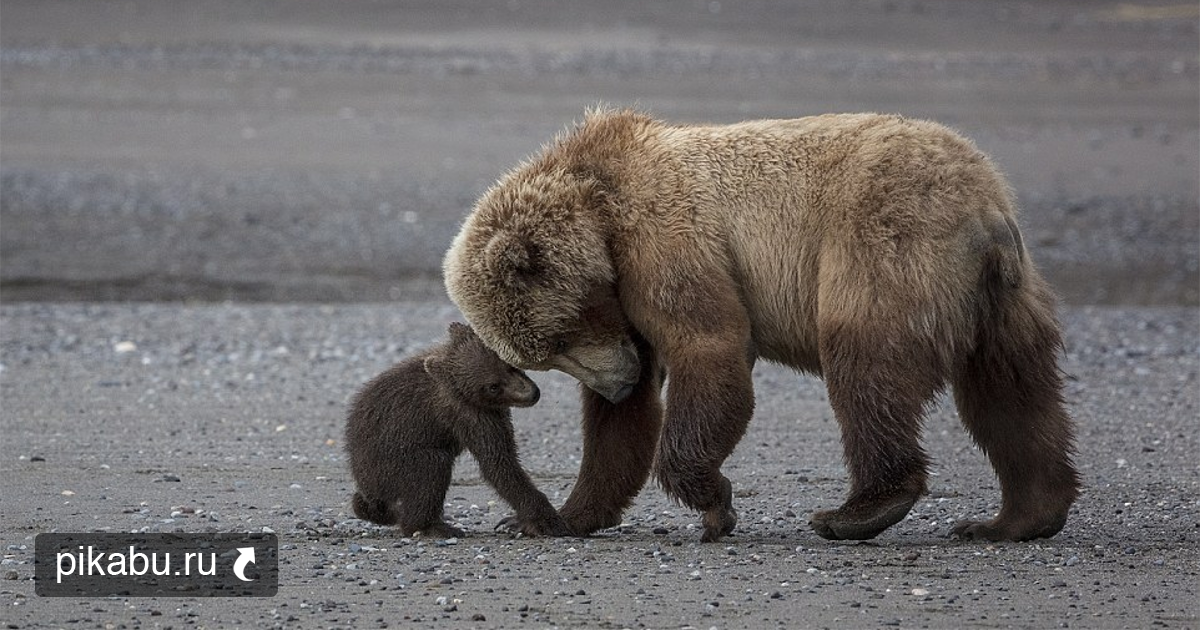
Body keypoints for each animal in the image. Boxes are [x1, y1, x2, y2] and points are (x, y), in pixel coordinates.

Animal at [441, 108, 1080, 540]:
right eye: (543, 355)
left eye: (557, 338)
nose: (615, 383)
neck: (599, 206)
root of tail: (985, 207)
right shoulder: (628, 311)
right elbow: (620, 428)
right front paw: (555, 517)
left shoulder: (667, 242)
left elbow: (710, 349)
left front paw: (715, 501)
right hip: (1003, 299)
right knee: (1012, 393)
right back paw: (1016, 517)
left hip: (888, 245)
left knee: (866, 366)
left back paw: (856, 511)